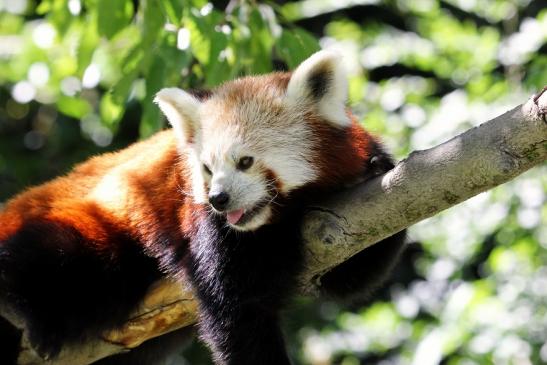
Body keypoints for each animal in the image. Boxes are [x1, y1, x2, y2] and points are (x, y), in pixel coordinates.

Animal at [1, 51, 406, 364]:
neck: (280, 219)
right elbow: (237, 312)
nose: (218, 199)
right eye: (208, 169)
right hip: (94, 230)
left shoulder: (334, 224)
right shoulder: (211, 230)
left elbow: (352, 278)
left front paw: (377, 169)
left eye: (245, 161)